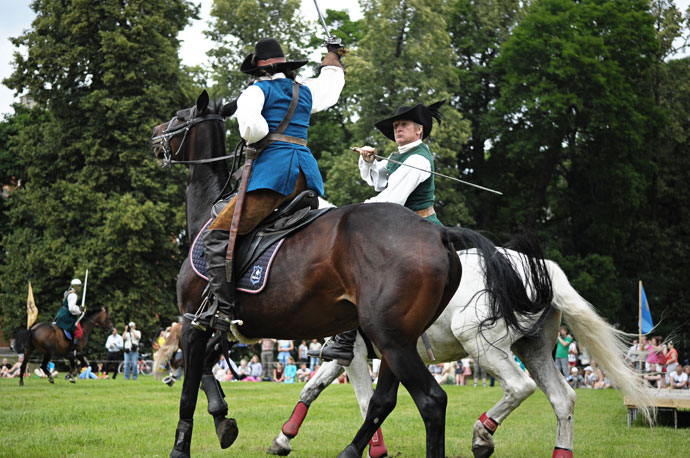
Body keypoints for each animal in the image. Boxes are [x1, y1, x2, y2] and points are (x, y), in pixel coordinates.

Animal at [152, 90, 552, 458]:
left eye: (179, 117)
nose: (154, 136)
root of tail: (438, 234)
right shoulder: (230, 326)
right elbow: (209, 370)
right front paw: (224, 419)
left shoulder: (193, 322)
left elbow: (189, 388)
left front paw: (182, 446)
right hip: (399, 342)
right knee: (387, 400)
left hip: (398, 340)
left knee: (434, 400)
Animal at [264, 250, 652, 458]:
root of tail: (540, 268)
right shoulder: (367, 355)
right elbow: (312, 389)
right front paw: (283, 438)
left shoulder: (358, 354)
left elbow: (366, 402)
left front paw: (371, 449)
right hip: (534, 348)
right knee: (562, 398)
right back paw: (559, 451)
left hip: (481, 343)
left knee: (520, 386)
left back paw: (482, 434)